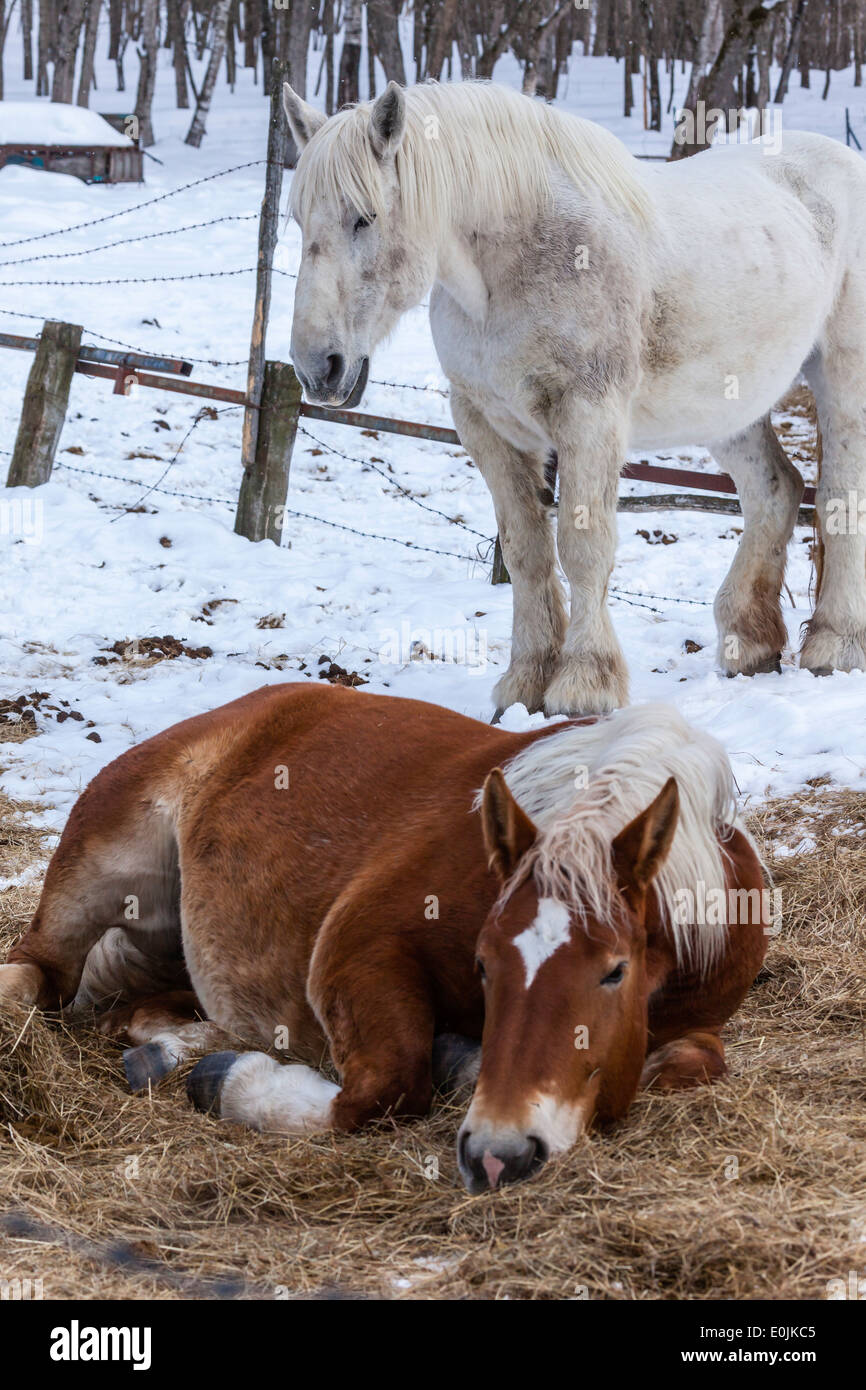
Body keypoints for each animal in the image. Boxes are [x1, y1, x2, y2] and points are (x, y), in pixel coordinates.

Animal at [1, 683, 772, 1195]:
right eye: (484, 966)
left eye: (614, 971)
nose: (500, 1153)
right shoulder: (359, 951)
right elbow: (384, 1088)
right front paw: (236, 1084)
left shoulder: (696, 1023)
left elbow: (690, 1063)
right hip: (98, 866)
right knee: (38, 973)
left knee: (140, 1011)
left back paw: (169, 1047)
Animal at [283, 78, 866, 717]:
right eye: (298, 219)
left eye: (364, 218)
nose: (318, 368)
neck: (514, 263)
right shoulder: (486, 425)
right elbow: (526, 551)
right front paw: (525, 681)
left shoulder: (588, 416)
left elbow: (583, 545)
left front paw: (586, 684)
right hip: (727, 406)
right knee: (774, 492)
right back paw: (750, 643)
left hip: (843, 378)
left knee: (839, 497)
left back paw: (834, 645)